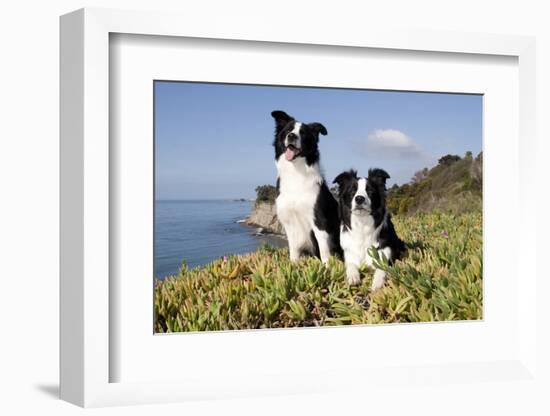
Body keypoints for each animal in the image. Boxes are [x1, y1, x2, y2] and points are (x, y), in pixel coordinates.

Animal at [270, 110, 342, 264]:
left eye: (303, 133)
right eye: (288, 131)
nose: (291, 136)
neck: (296, 171)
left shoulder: (319, 221)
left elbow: (324, 251)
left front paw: (326, 267)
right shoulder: (289, 223)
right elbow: (293, 251)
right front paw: (293, 265)